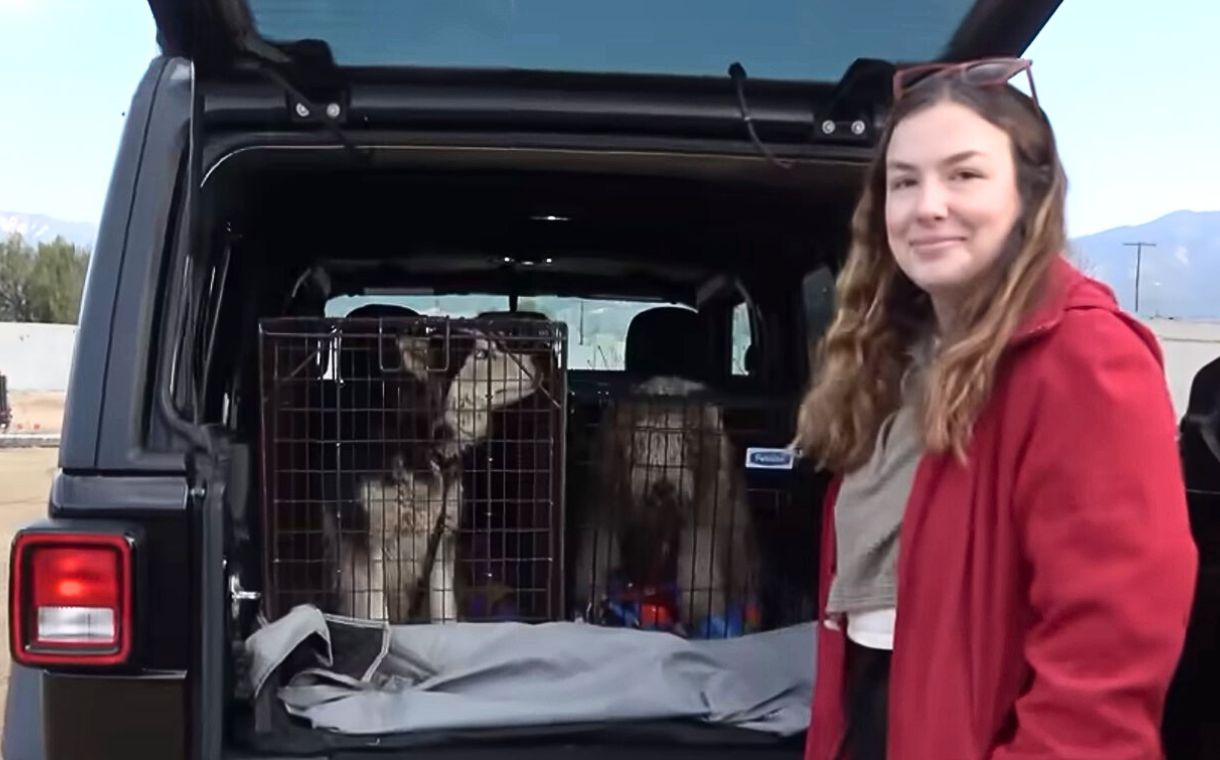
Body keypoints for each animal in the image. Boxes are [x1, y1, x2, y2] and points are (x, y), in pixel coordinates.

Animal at [331, 326, 546, 624]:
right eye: (481, 354)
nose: (539, 359)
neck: (424, 442)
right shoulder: (366, 548)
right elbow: (376, 614)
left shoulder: (442, 542)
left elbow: (444, 612)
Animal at [570, 375, 751, 634]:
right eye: (642, 441)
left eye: (686, 442)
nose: (663, 486)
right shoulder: (606, 496)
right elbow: (599, 550)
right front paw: (590, 602)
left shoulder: (706, 505)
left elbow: (699, 561)